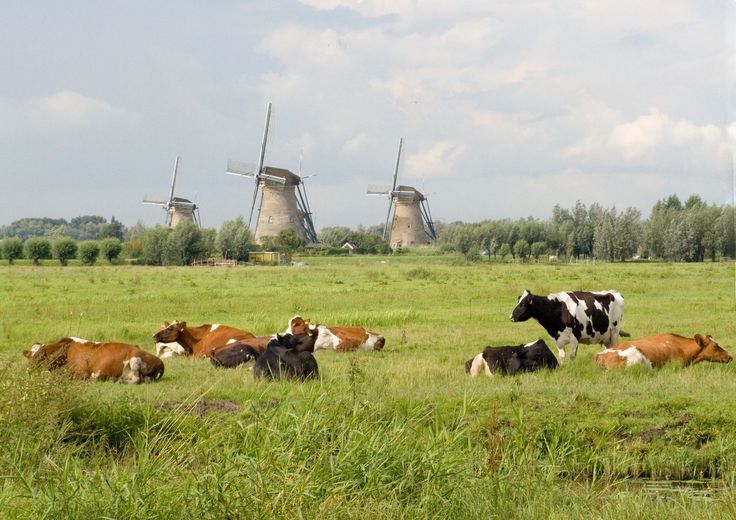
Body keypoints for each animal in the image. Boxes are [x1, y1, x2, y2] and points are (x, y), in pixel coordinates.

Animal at [22, 336, 164, 384]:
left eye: (40, 356)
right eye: (29, 356)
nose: (28, 371)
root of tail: (160, 361)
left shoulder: (82, 373)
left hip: (134, 359)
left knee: (136, 379)